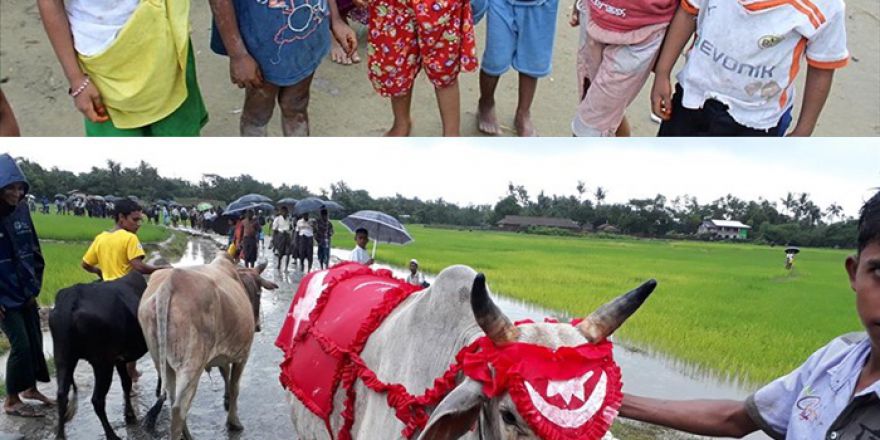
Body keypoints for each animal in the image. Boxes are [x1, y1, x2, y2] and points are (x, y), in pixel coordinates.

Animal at [49, 272, 150, 440]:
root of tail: (72, 296)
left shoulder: (119, 359)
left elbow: (126, 383)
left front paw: (129, 415)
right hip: (102, 363)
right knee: (97, 400)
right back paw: (111, 435)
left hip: (63, 358)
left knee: (61, 395)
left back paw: (60, 435)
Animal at [139, 254, 276, 440]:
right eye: (258, 293)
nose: (258, 326)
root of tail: (169, 283)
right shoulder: (242, 355)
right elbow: (235, 387)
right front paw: (233, 422)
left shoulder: (223, 354)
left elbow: (225, 374)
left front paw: (226, 399)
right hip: (191, 365)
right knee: (178, 410)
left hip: (163, 363)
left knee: (173, 399)